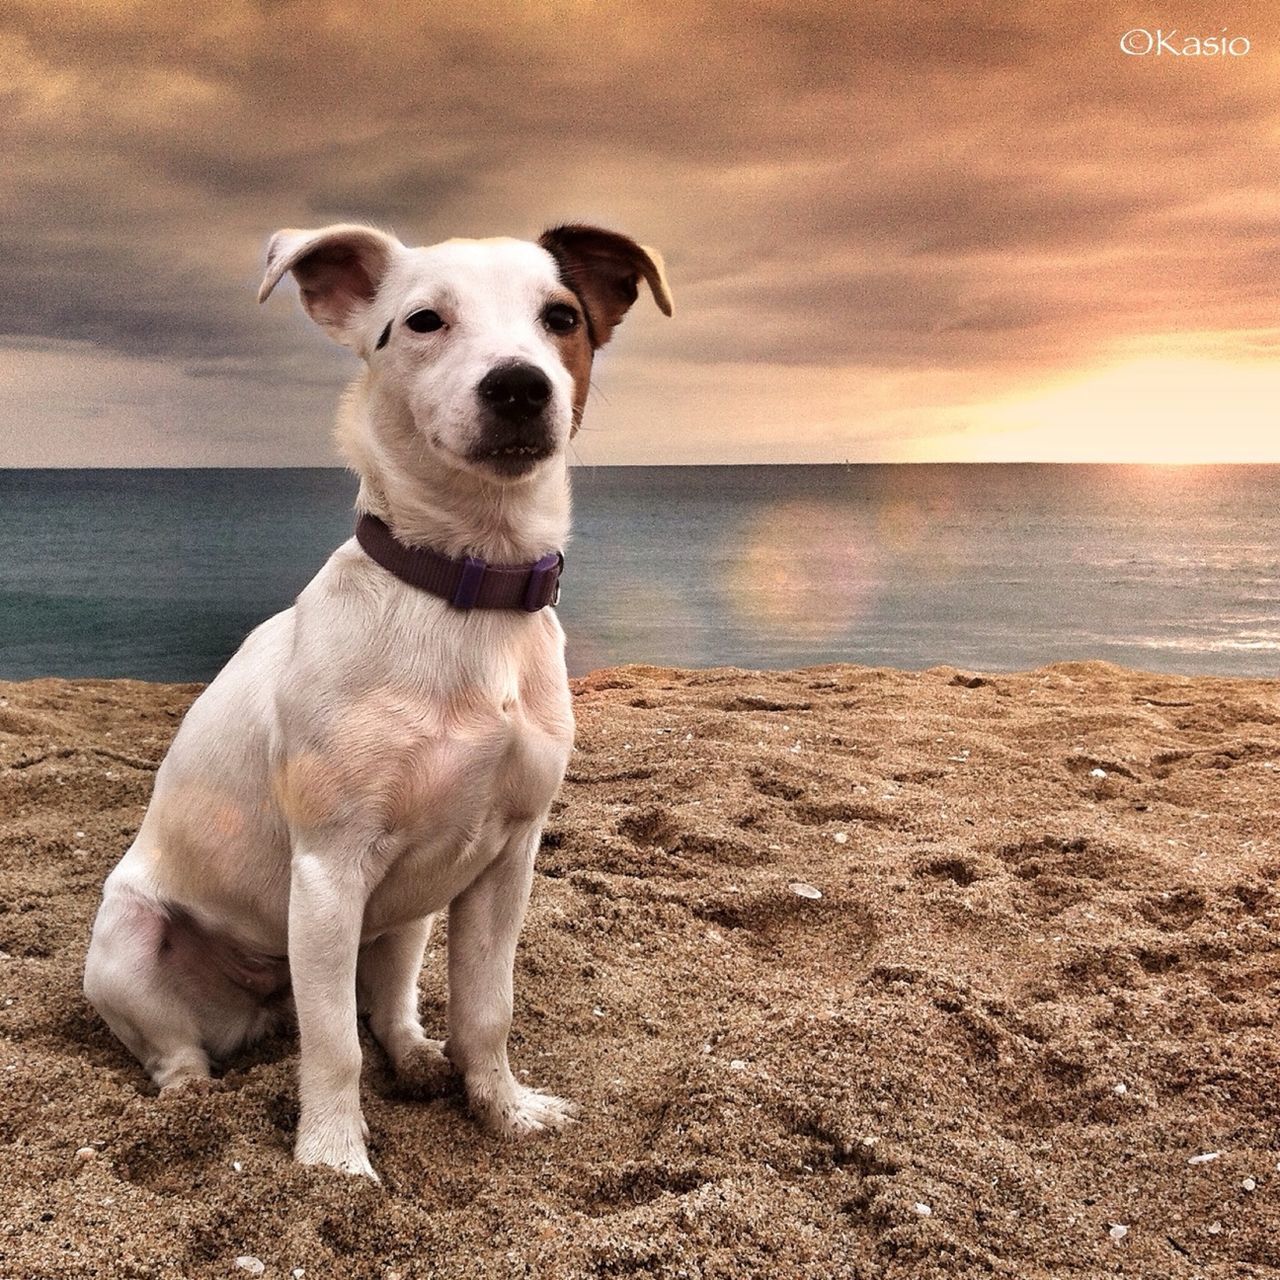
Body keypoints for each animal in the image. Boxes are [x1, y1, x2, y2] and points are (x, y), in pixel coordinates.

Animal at [82, 217, 670, 1177]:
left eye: (562, 317)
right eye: (424, 320)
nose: (519, 384)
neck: (467, 588)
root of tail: (265, 992)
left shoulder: (507, 863)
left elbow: (486, 1009)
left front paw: (502, 1108)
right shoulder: (328, 871)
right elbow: (332, 1048)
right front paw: (332, 1163)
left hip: (408, 917)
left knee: (389, 1007)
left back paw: (420, 1056)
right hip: (130, 946)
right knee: (188, 1047)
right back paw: (189, 1099)